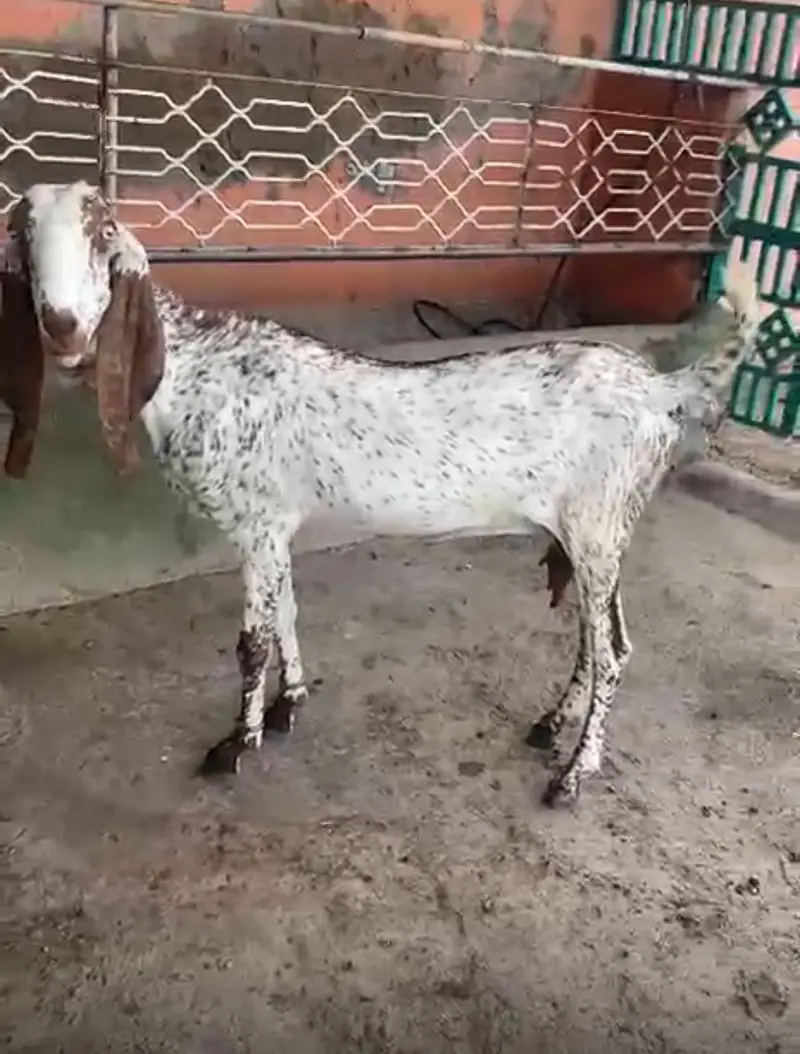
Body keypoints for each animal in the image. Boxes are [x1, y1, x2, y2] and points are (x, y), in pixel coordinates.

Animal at [3, 180, 756, 807]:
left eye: (103, 235)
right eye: (22, 236)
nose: (63, 325)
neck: (197, 369)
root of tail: (662, 390)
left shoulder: (255, 523)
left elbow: (252, 641)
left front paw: (236, 744)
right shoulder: (277, 525)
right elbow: (288, 612)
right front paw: (288, 705)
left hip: (598, 524)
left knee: (614, 652)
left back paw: (574, 775)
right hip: (594, 531)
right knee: (593, 642)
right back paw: (552, 725)